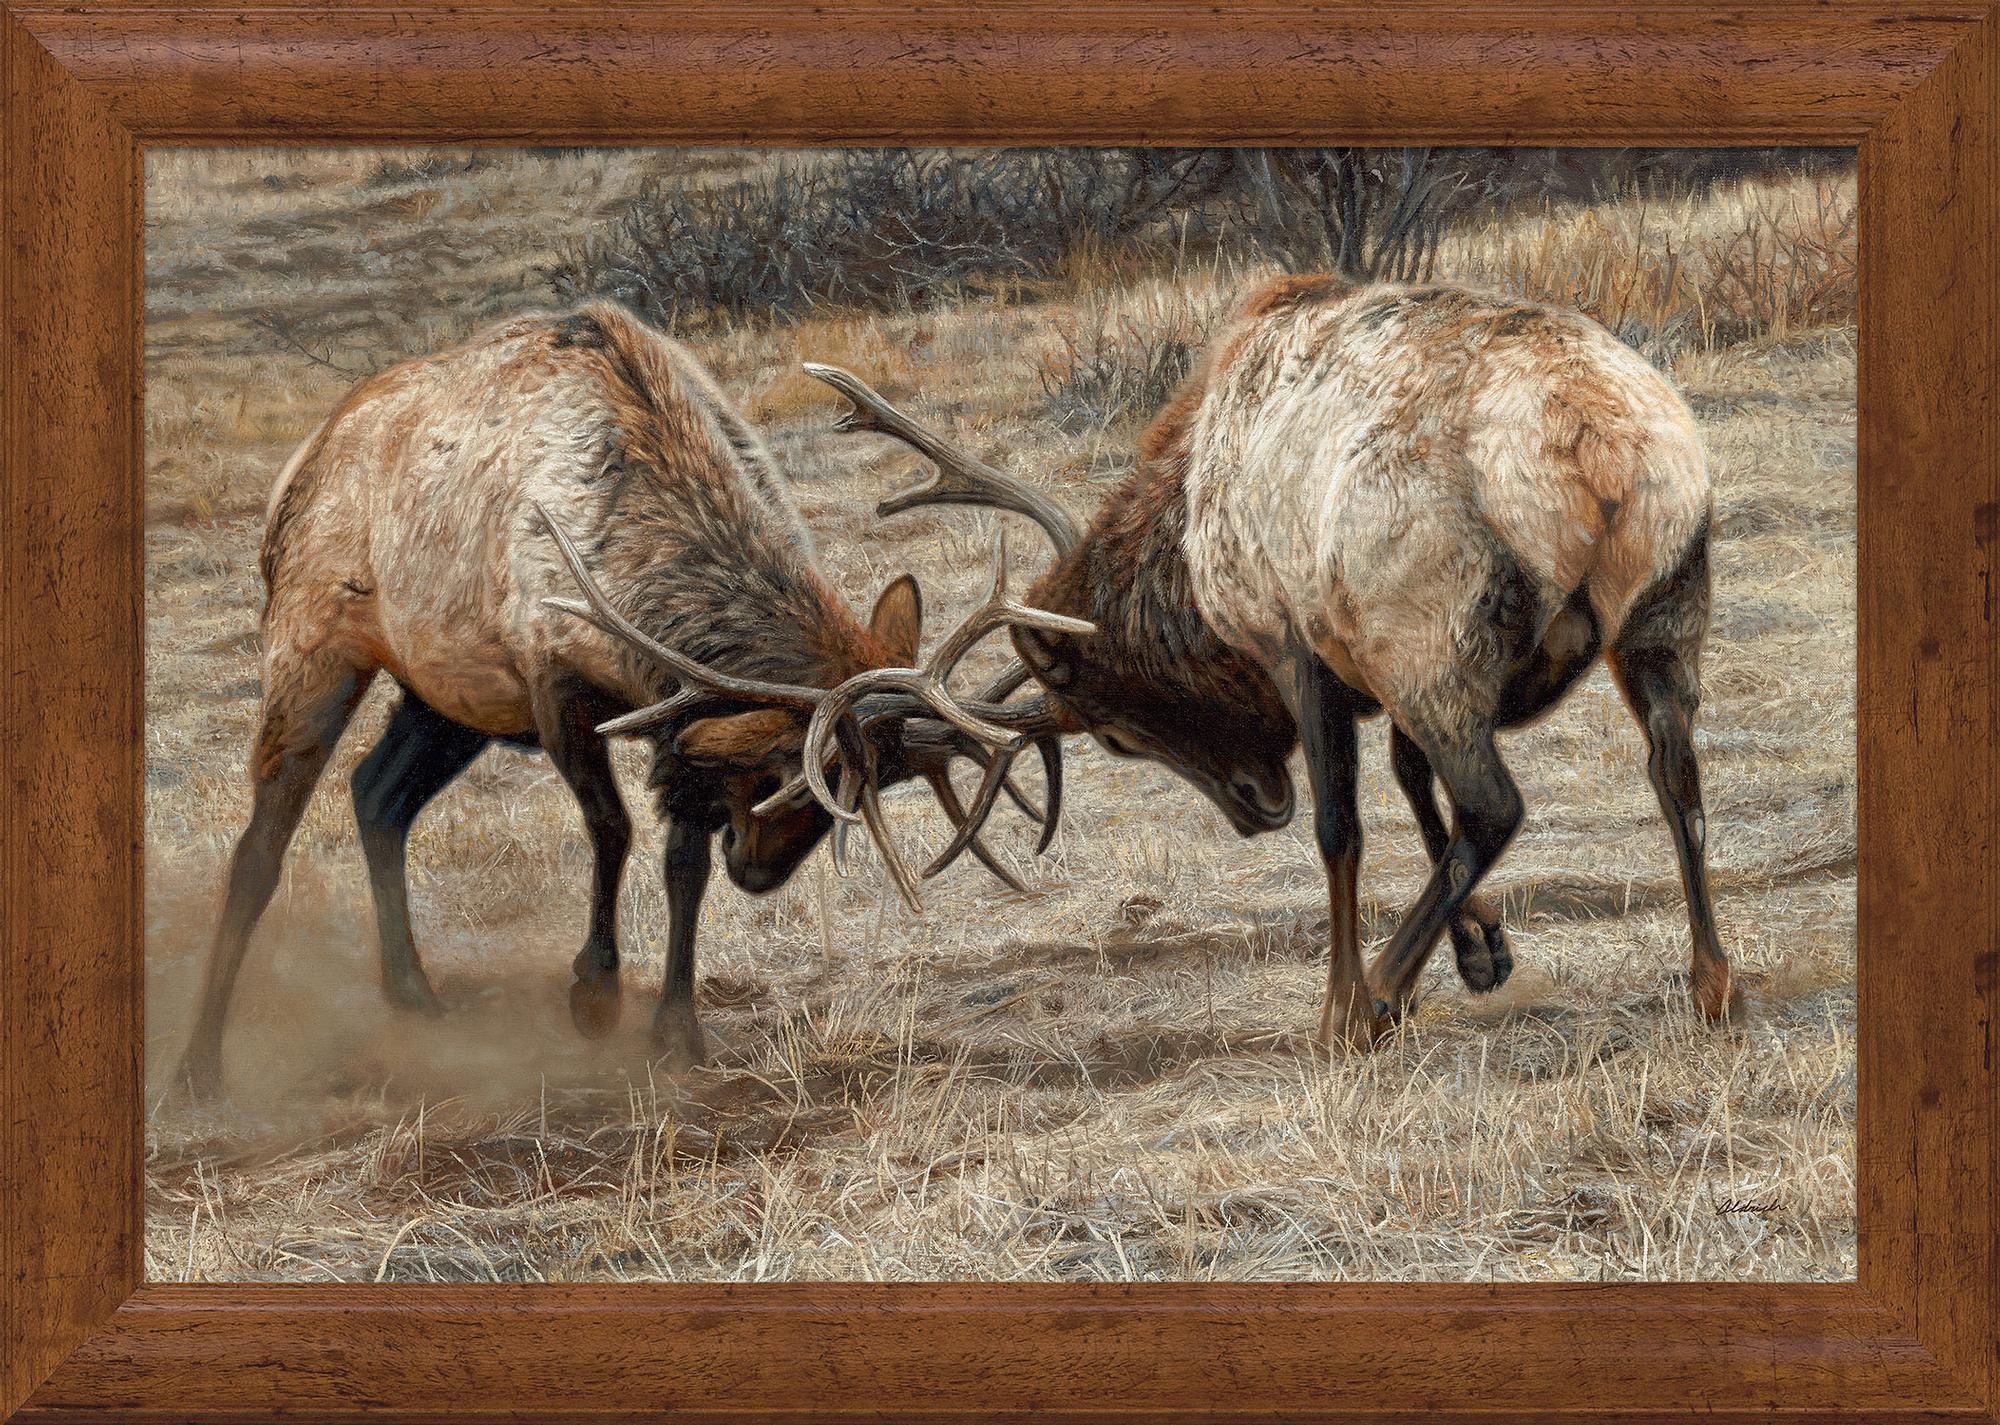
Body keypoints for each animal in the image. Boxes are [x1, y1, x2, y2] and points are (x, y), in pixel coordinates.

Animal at [176, 301, 1087, 1098]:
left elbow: (682, 863)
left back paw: (415, 997)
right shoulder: (552, 679)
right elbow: (612, 827)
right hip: (313, 638)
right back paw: (200, 1065)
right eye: (786, 773)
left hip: (447, 699)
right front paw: (593, 993)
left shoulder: (669, 715)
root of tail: (298, 466)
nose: (760, 871)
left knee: (376, 793)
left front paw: (677, 1029)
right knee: (262, 842)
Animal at [797, 274, 1732, 1049]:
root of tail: (1600, 446)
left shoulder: (1302, 645)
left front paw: (1347, 999)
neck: (1188, 543)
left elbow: (1342, 827)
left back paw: (1375, 997)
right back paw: (1712, 981)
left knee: (1495, 804)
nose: (1256, 807)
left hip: (1435, 629)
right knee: (1674, 772)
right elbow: (1408, 780)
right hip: (1662, 611)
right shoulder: (1369, 659)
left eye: (1116, 734)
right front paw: (1482, 953)